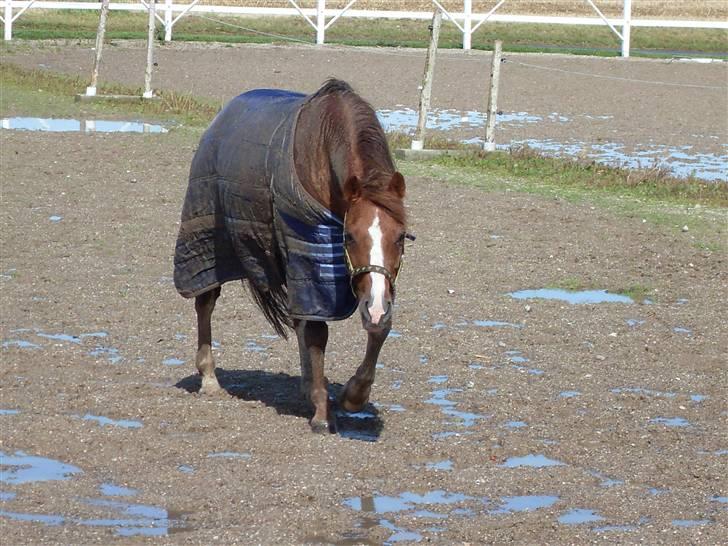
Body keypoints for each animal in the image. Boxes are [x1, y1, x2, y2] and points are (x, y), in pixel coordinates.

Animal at [172, 78, 410, 432]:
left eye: (400, 237)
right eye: (349, 237)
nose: (377, 305)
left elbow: (377, 327)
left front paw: (353, 395)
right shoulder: (306, 253)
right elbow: (317, 332)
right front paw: (323, 414)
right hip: (211, 244)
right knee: (206, 301)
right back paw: (210, 378)